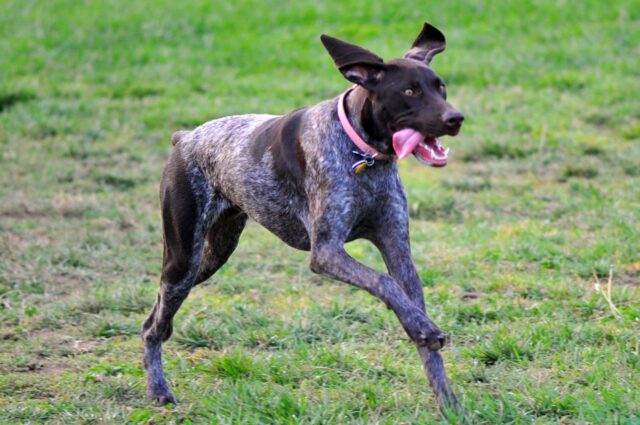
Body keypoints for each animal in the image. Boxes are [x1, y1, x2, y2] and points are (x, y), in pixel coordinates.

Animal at [142, 22, 464, 408]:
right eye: (409, 91)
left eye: (440, 87)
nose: (455, 118)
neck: (363, 154)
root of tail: (186, 137)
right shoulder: (326, 252)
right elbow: (383, 283)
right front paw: (424, 329)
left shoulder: (398, 250)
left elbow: (414, 315)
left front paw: (448, 401)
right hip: (183, 260)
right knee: (153, 326)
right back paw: (159, 390)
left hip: (211, 255)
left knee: (157, 314)